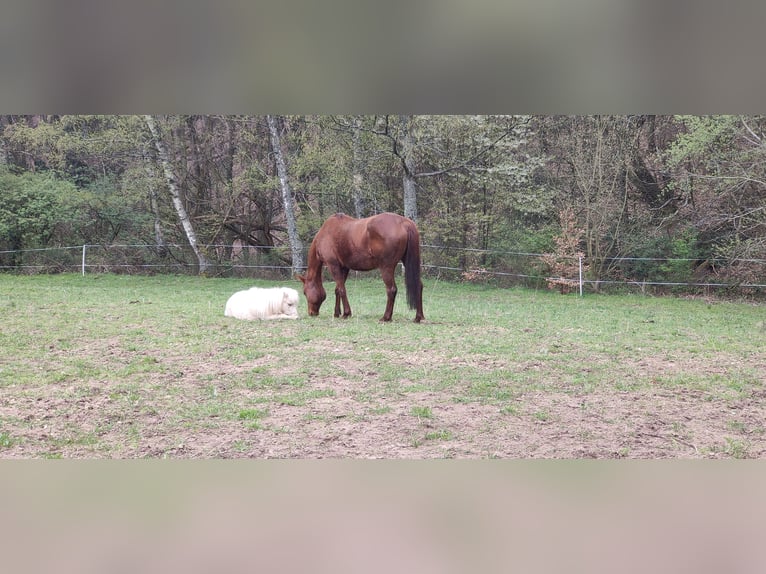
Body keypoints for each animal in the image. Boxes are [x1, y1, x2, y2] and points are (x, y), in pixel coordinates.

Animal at [296, 214, 426, 324]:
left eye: (304, 292)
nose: (311, 313)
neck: (325, 234)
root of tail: (404, 222)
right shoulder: (344, 267)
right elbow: (338, 289)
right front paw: (337, 313)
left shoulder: (333, 265)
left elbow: (342, 290)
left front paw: (346, 313)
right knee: (418, 286)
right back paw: (418, 317)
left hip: (386, 268)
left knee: (391, 289)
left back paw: (386, 317)